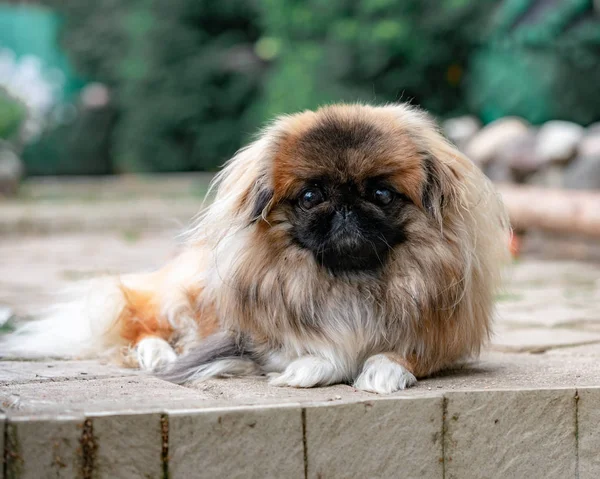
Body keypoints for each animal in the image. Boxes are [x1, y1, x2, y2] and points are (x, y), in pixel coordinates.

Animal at [1, 104, 510, 394]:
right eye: (311, 196)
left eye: (382, 194)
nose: (345, 207)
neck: (348, 283)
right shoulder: (255, 338)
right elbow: (312, 350)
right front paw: (312, 368)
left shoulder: (442, 338)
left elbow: (403, 353)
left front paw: (382, 370)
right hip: (180, 297)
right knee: (138, 322)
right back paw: (157, 353)